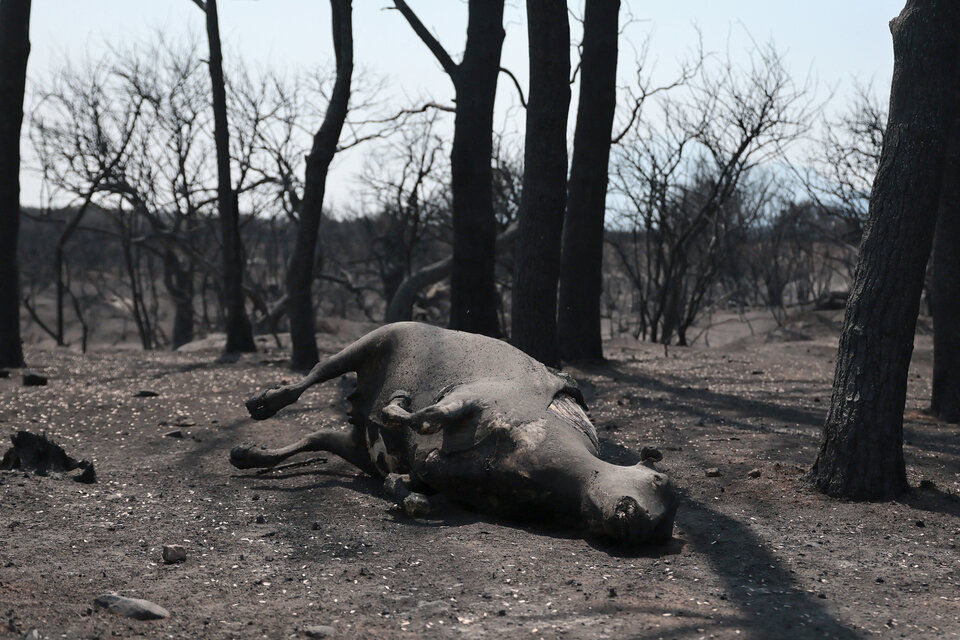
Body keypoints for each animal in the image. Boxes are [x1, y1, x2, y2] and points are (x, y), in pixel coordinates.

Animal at [233, 322, 680, 544]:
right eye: (660, 480)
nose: (640, 524)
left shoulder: (437, 476)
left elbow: (410, 486)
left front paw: (411, 498)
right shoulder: (469, 398)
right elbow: (421, 416)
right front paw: (399, 404)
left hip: (355, 446)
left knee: (315, 437)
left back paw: (249, 454)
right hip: (368, 343)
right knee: (312, 376)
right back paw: (265, 403)